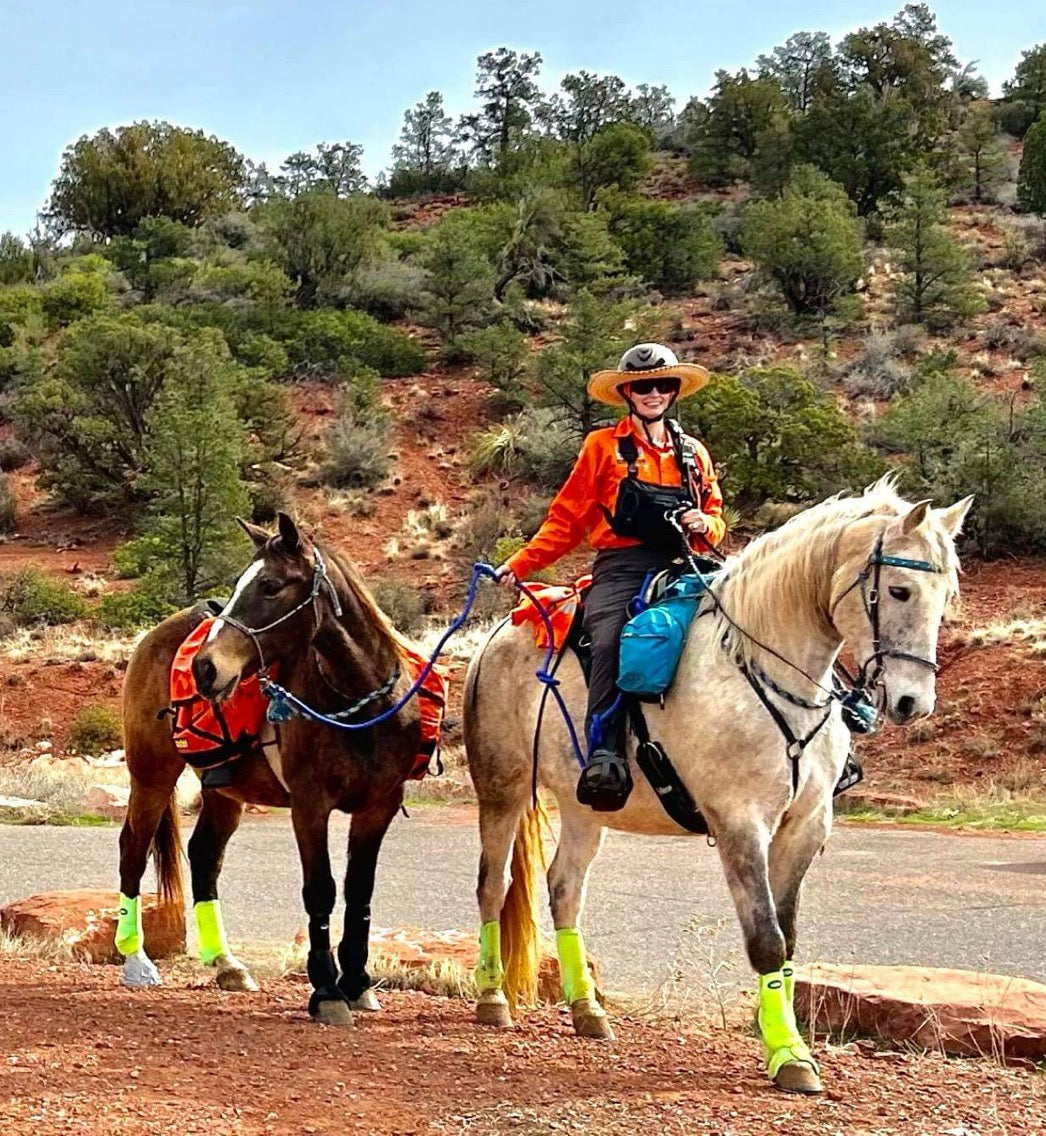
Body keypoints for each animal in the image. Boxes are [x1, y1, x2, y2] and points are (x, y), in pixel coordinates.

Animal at [117, 511, 420, 1026]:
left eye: (271, 585)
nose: (204, 668)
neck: (358, 708)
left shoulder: (377, 808)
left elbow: (360, 892)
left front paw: (358, 984)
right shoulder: (310, 807)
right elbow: (321, 890)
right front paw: (327, 991)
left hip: (222, 792)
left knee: (205, 857)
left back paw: (227, 964)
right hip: (151, 777)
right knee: (132, 851)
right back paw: (136, 959)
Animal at [465, 479, 972, 1090]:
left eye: (945, 597)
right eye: (898, 590)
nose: (912, 702)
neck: (763, 668)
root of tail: (502, 630)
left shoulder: (805, 826)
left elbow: (787, 940)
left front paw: (784, 1038)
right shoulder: (739, 824)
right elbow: (766, 939)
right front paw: (789, 1056)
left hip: (585, 806)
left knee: (565, 890)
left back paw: (587, 1009)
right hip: (504, 787)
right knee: (493, 885)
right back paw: (492, 999)